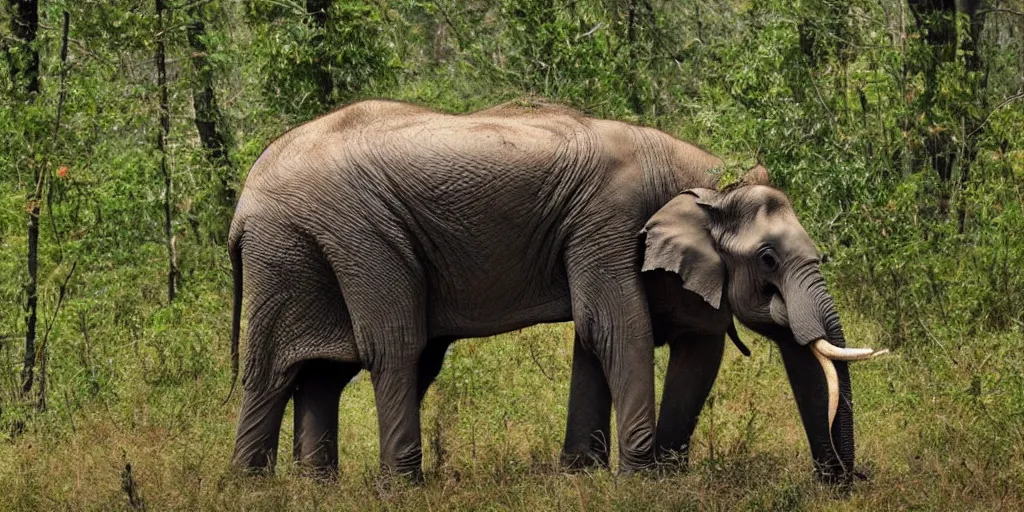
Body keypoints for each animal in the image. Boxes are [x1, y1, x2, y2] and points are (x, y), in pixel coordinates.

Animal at [228, 98, 884, 483]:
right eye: (768, 258)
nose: (842, 483)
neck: (708, 183)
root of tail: (245, 199)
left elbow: (664, 342)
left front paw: (599, 475)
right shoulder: (609, 219)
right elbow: (618, 328)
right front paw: (638, 480)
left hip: (297, 248)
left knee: (311, 371)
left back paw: (298, 486)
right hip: (354, 233)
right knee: (394, 346)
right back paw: (395, 485)